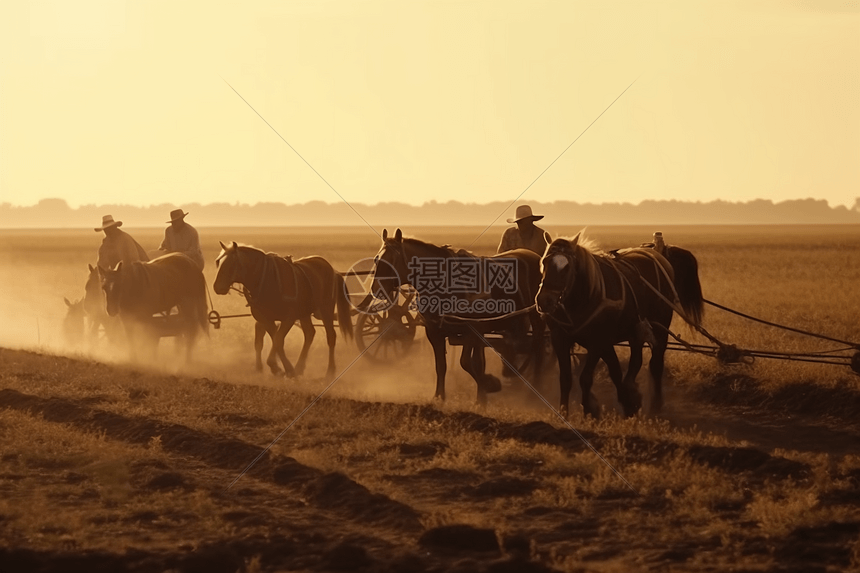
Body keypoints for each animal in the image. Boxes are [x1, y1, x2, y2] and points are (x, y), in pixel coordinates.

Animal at [212, 240, 352, 378]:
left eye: (232, 263)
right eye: (219, 262)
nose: (217, 287)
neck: (266, 280)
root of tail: (332, 270)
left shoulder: (288, 319)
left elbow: (278, 340)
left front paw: (285, 369)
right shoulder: (266, 319)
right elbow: (276, 340)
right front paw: (278, 367)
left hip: (326, 309)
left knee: (331, 336)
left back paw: (330, 371)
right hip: (304, 313)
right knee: (309, 333)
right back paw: (299, 367)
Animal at [372, 226, 544, 404]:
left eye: (393, 259)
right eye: (377, 259)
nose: (376, 289)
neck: (445, 282)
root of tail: (535, 256)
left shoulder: (471, 329)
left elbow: (466, 362)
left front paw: (490, 384)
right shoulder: (434, 331)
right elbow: (442, 365)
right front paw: (440, 396)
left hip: (536, 318)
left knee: (538, 348)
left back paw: (535, 390)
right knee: (514, 346)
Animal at [536, 230, 704, 418]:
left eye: (567, 267)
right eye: (544, 261)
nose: (544, 300)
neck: (585, 296)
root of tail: (659, 255)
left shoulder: (598, 341)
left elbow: (586, 377)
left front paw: (591, 409)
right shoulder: (562, 339)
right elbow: (570, 377)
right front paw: (564, 412)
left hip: (660, 327)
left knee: (656, 363)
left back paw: (655, 405)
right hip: (636, 331)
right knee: (636, 360)